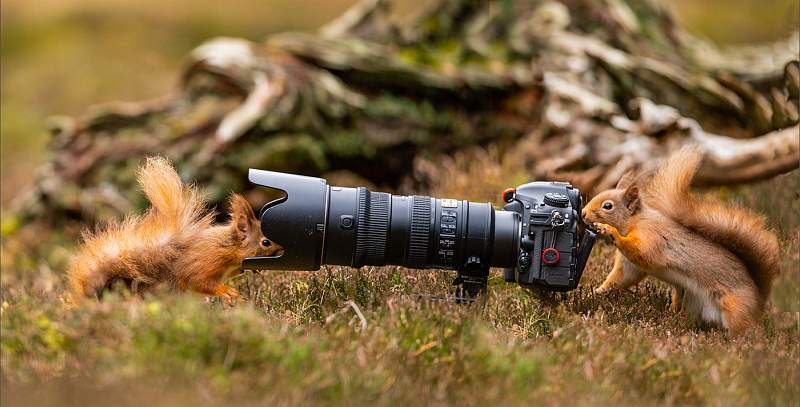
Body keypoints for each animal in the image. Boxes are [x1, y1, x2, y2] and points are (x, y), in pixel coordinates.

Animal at [66, 156, 282, 305]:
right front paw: (226, 291)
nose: (282, 250)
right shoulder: (205, 260)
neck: (227, 246)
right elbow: (197, 280)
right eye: (265, 242)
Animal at [582, 147, 780, 336]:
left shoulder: (652, 237)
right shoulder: (629, 266)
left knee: (743, 329)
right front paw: (597, 293)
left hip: (736, 309)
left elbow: (642, 252)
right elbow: (622, 278)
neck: (634, 221)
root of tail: (759, 298)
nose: (583, 213)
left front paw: (609, 231)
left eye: (608, 206)